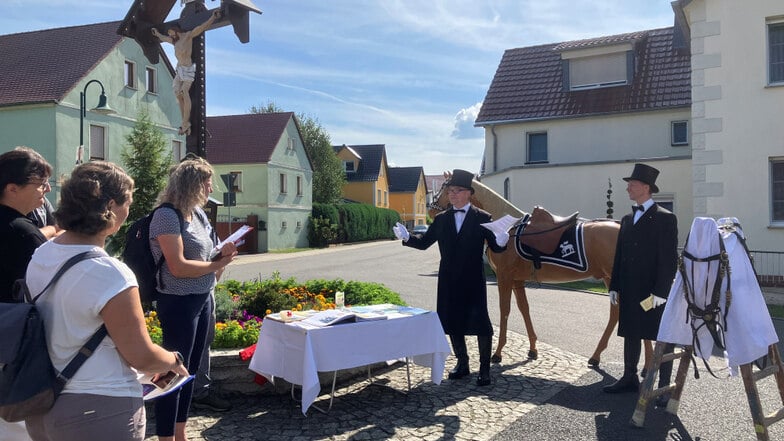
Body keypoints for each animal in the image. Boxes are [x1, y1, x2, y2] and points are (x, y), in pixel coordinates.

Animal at [432, 174, 652, 366]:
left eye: (445, 187)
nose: (433, 208)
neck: (506, 228)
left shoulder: (504, 277)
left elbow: (505, 310)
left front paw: (498, 353)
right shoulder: (517, 280)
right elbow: (524, 309)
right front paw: (532, 349)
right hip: (609, 278)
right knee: (617, 314)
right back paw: (598, 356)